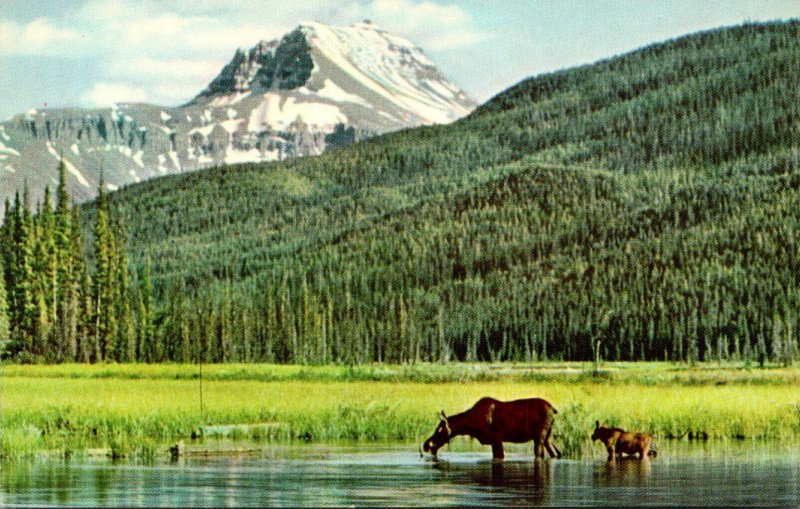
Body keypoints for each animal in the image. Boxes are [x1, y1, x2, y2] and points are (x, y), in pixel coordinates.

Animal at [422, 396, 560, 460]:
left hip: (540, 435)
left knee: (539, 453)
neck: (471, 425)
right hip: (548, 435)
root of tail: (553, 409)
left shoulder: (496, 438)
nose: (426, 445)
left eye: (439, 431)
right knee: (555, 453)